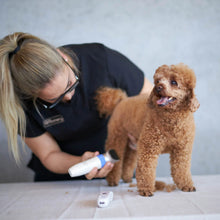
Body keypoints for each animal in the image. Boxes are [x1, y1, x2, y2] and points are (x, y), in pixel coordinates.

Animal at [94, 63, 199, 196]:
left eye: (174, 82)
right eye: (158, 81)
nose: (158, 88)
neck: (171, 120)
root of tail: (121, 100)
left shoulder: (182, 149)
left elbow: (182, 169)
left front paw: (186, 185)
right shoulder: (149, 146)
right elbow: (146, 168)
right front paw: (146, 189)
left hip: (132, 143)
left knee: (129, 159)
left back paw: (127, 178)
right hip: (117, 137)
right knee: (117, 160)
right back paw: (113, 180)